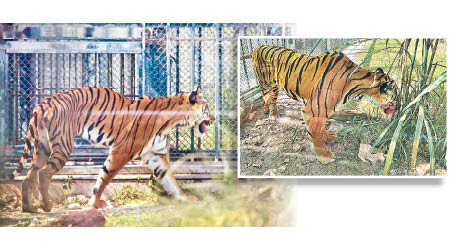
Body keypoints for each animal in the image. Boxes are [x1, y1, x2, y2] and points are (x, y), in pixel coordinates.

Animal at [10, 87, 214, 212]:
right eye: (207, 108)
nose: (213, 119)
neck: (174, 120)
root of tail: (43, 103)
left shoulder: (155, 155)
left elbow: (170, 180)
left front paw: (186, 198)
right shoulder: (121, 151)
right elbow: (104, 178)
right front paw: (95, 203)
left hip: (42, 148)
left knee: (28, 176)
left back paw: (28, 208)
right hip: (62, 146)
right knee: (43, 173)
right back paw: (46, 205)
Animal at [251, 45, 396, 164]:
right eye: (396, 96)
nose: (397, 108)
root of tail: (258, 47)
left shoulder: (324, 108)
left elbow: (321, 127)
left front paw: (328, 136)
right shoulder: (314, 109)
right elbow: (315, 131)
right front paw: (323, 155)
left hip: (275, 85)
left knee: (272, 98)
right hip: (266, 82)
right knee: (266, 96)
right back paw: (271, 113)